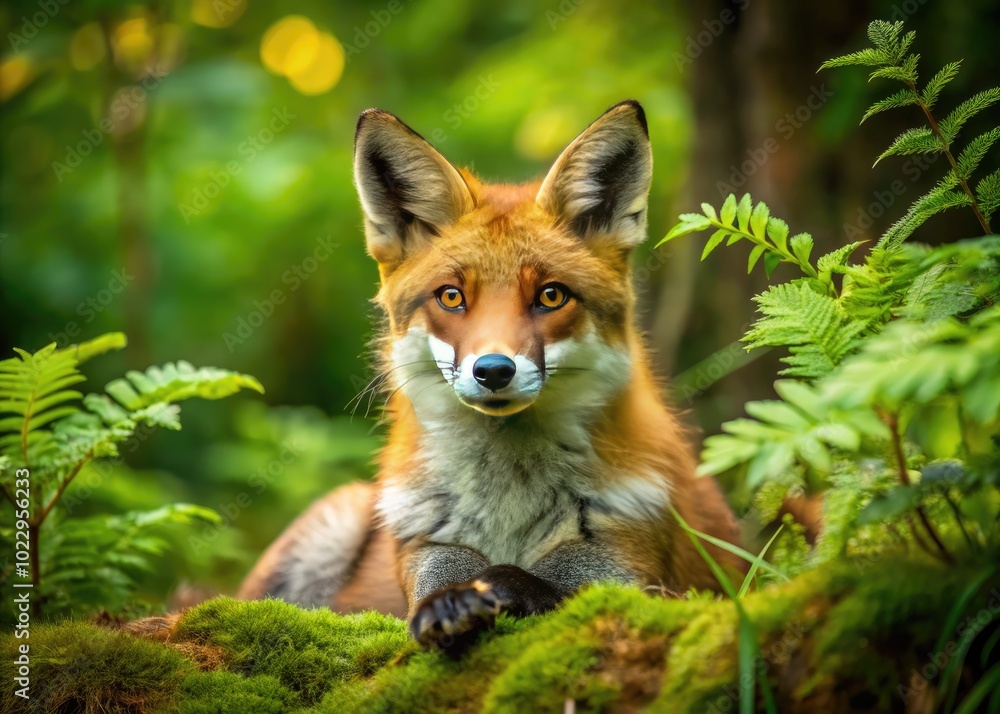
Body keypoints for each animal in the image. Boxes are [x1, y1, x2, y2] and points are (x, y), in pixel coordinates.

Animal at [239, 100, 746, 652]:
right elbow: (441, 581)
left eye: (551, 295)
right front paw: (448, 605)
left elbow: (533, 580)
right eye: (451, 296)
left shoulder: (627, 571)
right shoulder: (427, 550)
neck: (510, 507)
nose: (494, 370)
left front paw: (498, 588)